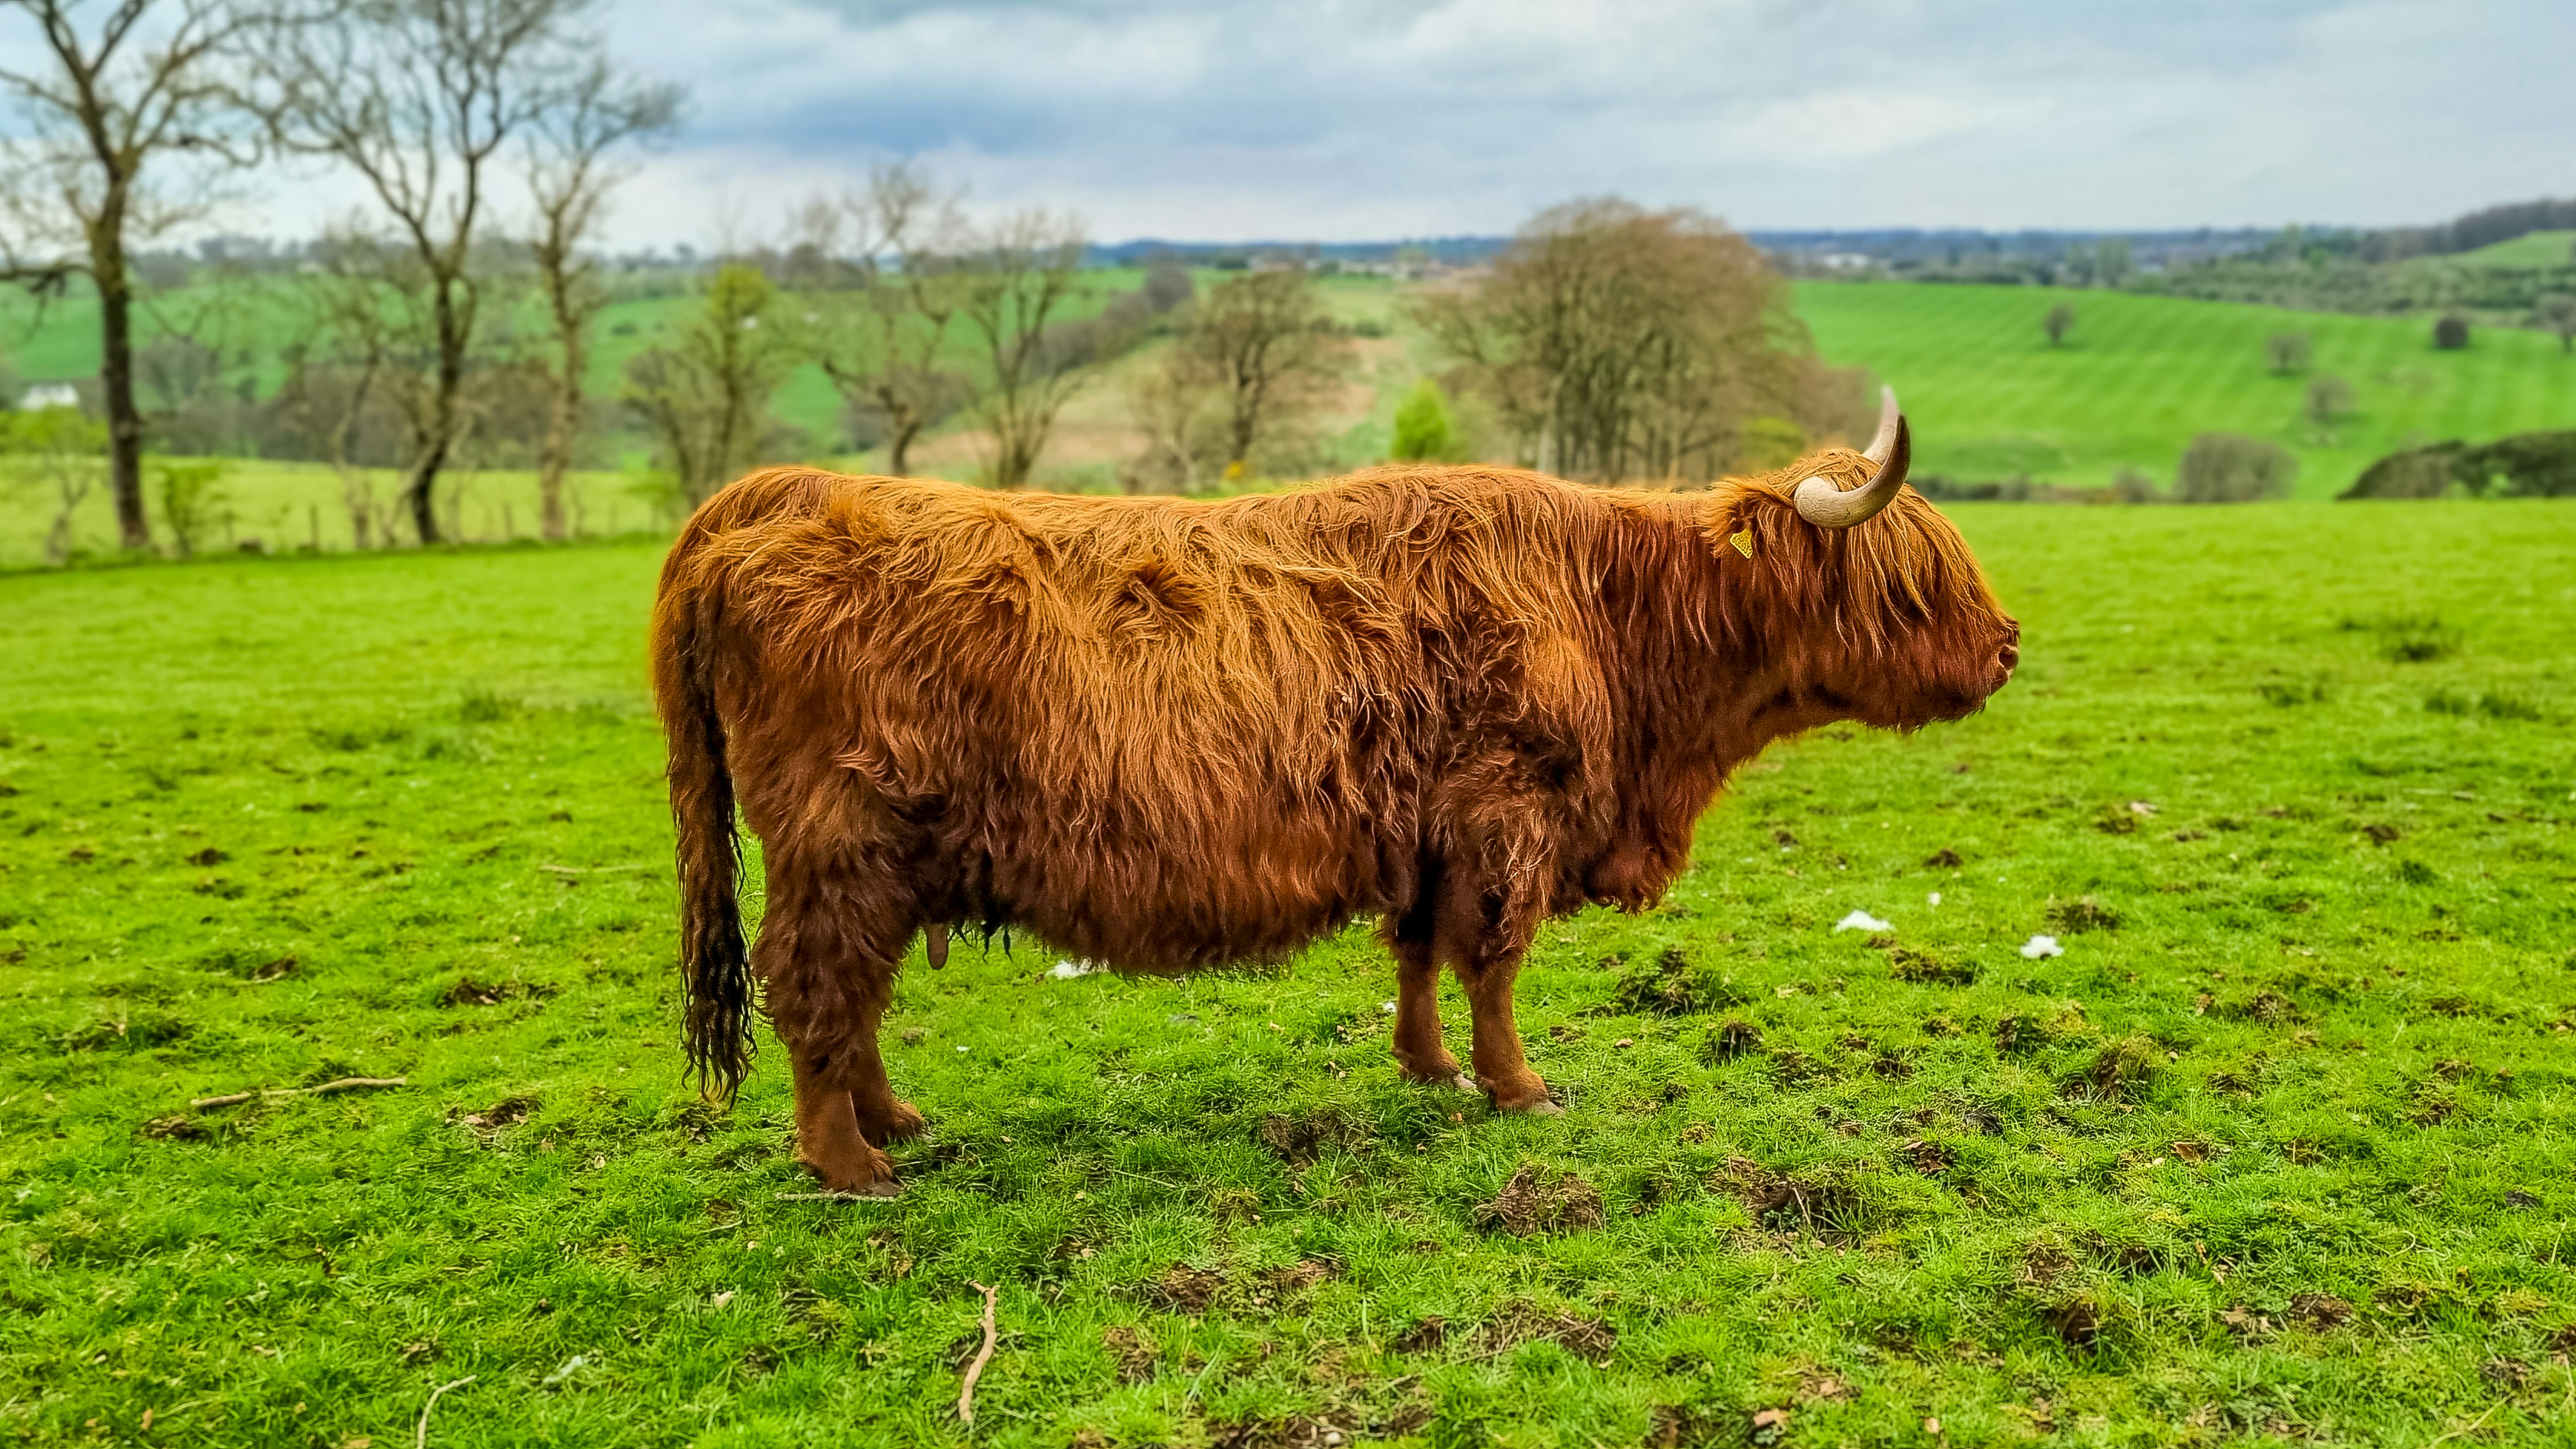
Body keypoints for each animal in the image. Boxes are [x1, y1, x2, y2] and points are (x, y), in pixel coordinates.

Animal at [652, 392, 2018, 1196]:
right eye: (1912, 582)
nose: (2007, 647)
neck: (1619, 622)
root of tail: (770, 494)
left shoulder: (1429, 829)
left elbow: (1419, 953)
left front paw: (1426, 1068)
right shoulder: (1507, 816)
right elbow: (1493, 964)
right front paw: (1519, 1089)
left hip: (878, 857)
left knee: (855, 994)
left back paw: (899, 1119)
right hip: (841, 840)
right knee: (815, 983)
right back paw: (851, 1163)